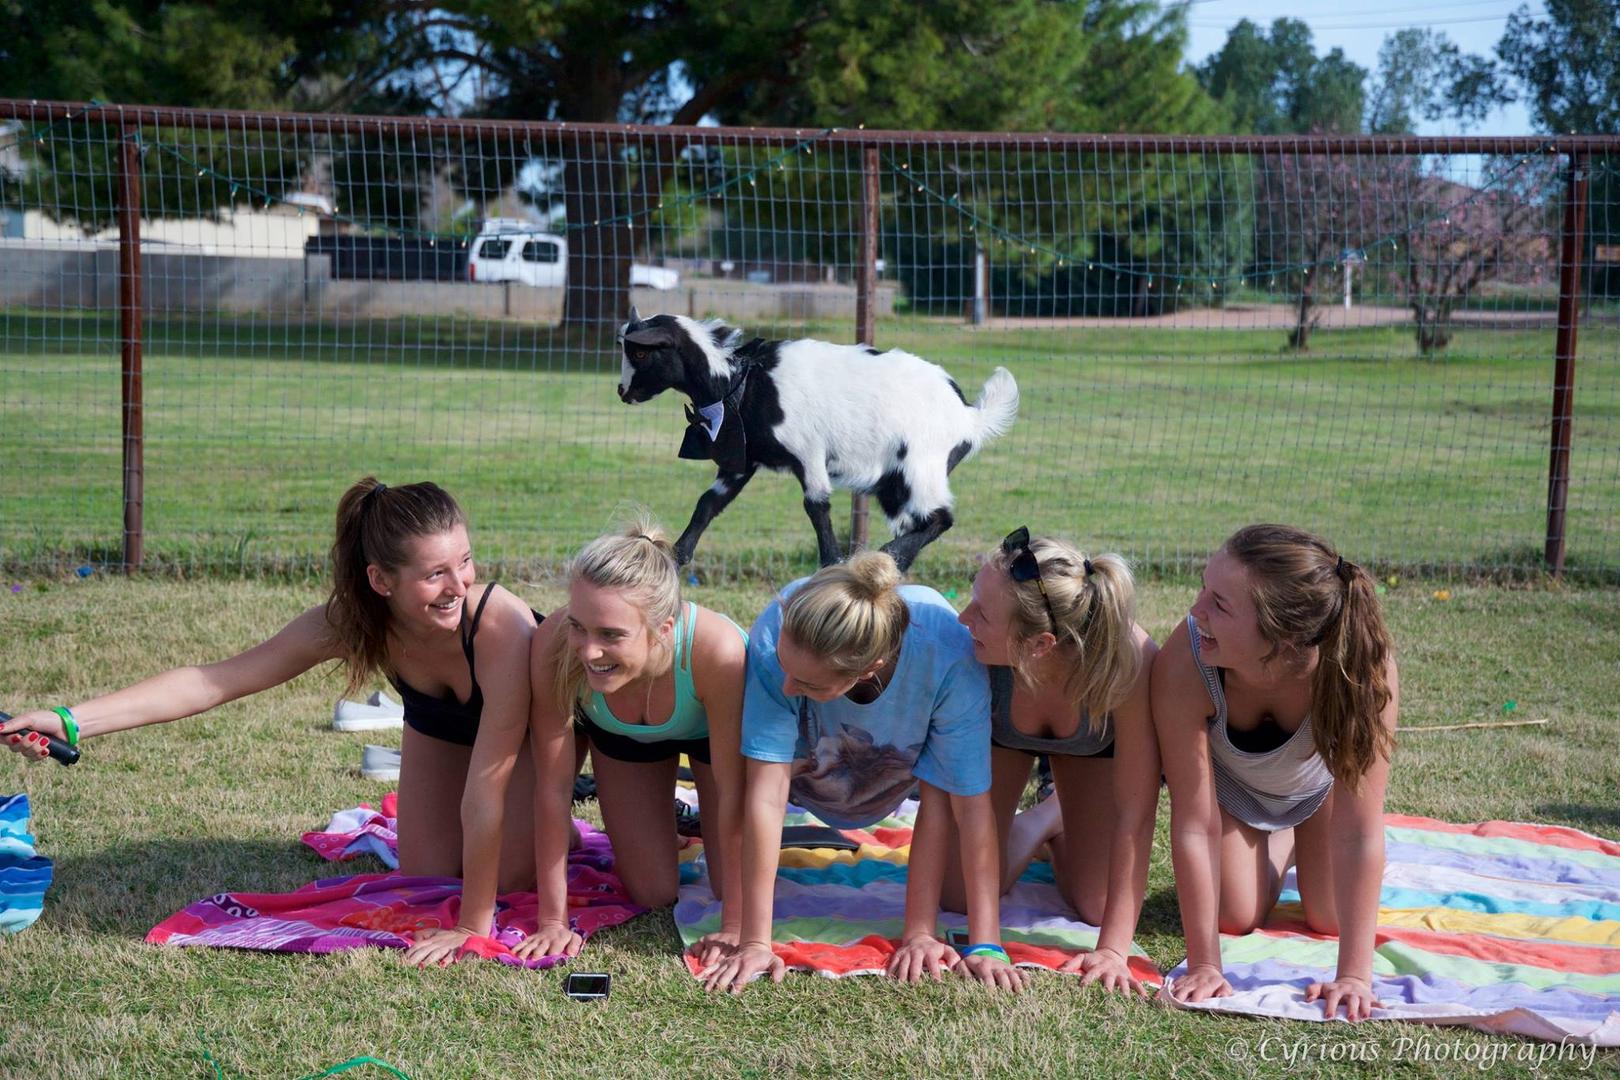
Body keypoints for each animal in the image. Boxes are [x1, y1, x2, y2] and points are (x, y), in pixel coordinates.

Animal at [615, 307, 1010, 569]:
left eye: (640, 351)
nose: (622, 391)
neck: (742, 380)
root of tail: (969, 416)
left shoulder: (808, 453)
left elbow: (817, 507)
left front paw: (832, 564)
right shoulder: (742, 461)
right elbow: (708, 503)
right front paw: (677, 556)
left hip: (918, 468)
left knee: (942, 518)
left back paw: (890, 554)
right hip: (894, 484)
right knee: (920, 522)